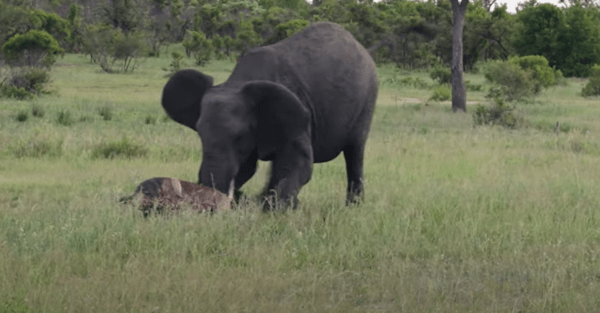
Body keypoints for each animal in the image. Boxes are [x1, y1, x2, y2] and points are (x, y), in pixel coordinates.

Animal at [162, 21, 378, 207]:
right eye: (200, 135)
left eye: (240, 137)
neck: (238, 82)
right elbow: (247, 167)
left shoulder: (298, 113)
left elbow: (298, 161)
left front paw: (271, 210)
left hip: (367, 101)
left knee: (354, 153)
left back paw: (353, 206)